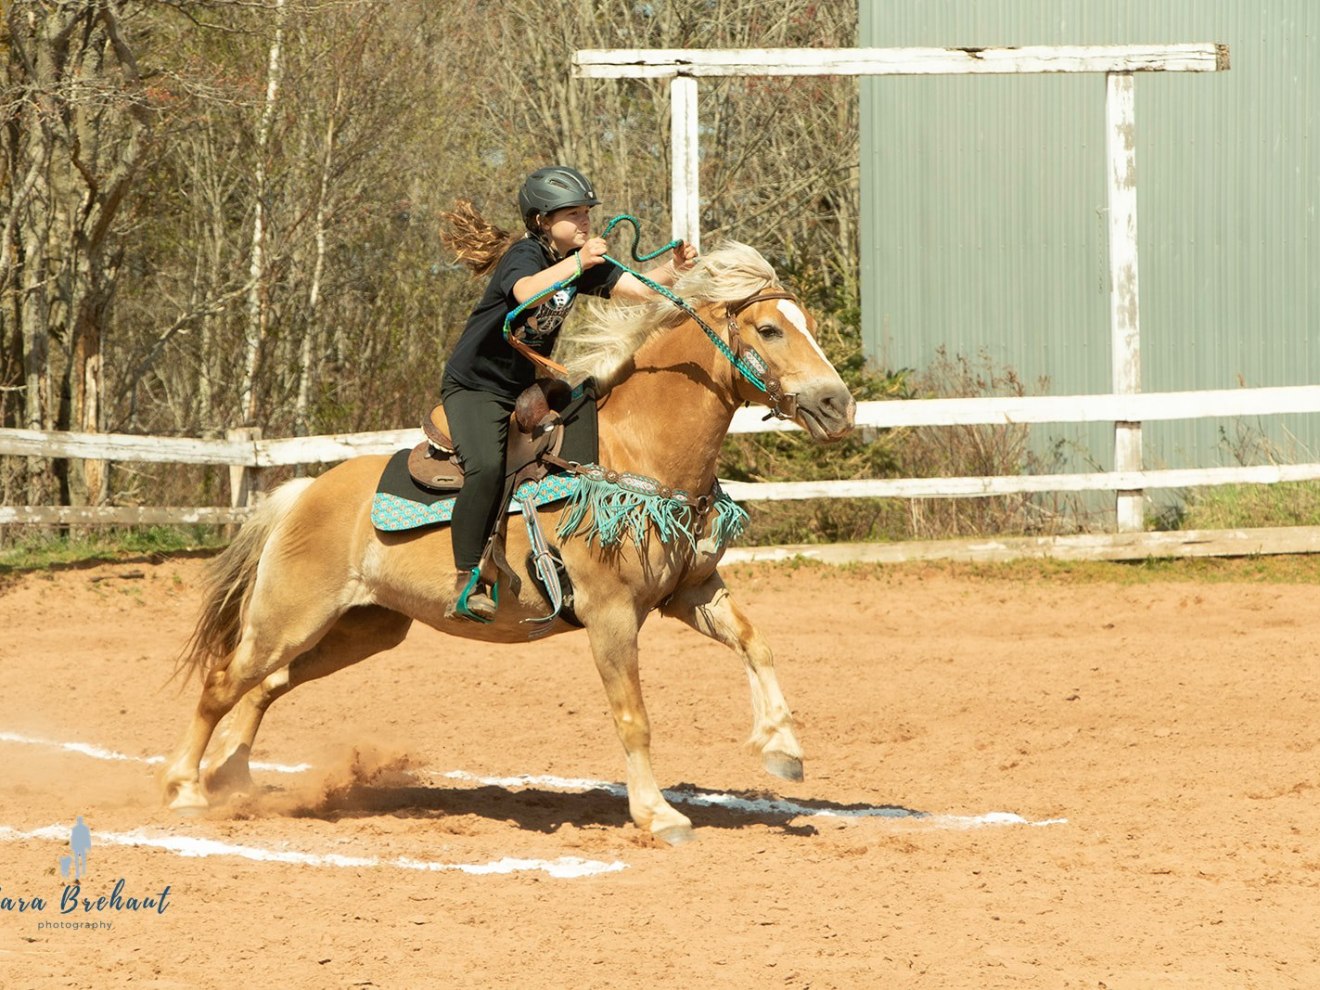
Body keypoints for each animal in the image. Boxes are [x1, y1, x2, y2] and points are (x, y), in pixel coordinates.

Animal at [160, 241, 856, 845]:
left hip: (362, 628)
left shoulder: (691, 591)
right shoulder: (610, 615)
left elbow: (756, 643)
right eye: (769, 329)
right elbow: (633, 717)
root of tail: (304, 492)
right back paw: (185, 789)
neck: (631, 454)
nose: (838, 405)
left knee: (266, 687)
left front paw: (782, 748)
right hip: (289, 618)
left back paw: (232, 777)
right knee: (223, 682)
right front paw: (659, 815)